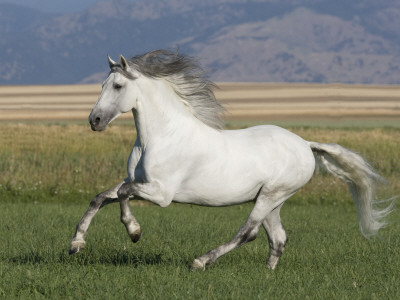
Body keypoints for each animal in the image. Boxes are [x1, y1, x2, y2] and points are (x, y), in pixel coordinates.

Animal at [70, 49, 392, 270]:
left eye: (118, 86)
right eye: (101, 84)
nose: (94, 121)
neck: (161, 136)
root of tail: (305, 144)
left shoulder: (161, 193)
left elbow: (123, 195)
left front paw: (134, 232)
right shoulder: (136, 180)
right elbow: (100, 197)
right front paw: (76, 245)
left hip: (271, 195)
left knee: (248, 232)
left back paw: (200, 262)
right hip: (272, 200)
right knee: (278, 238)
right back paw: (266, 274)